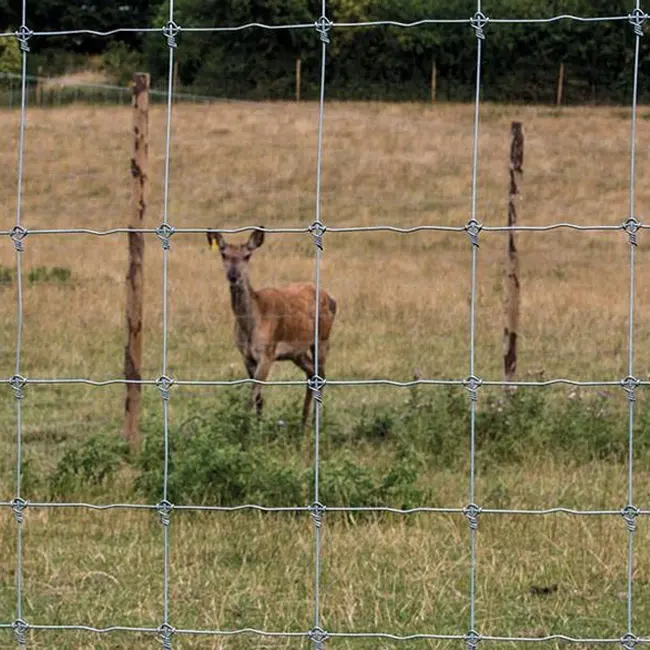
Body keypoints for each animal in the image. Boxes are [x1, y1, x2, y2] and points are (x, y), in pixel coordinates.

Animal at [208, 225, 336, 428]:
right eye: (223, 254)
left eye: (247, 255)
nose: (233, 276)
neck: (250, 325)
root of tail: (332, 299)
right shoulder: (246, 356)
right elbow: (259, 397)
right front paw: (257, 426)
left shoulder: (267, 353)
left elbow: (252, 395)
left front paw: (244, 428)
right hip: (297, 352)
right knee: (311, 373)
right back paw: (302, 423)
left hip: (323, 338)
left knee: (320, 375)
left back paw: (314, 422)